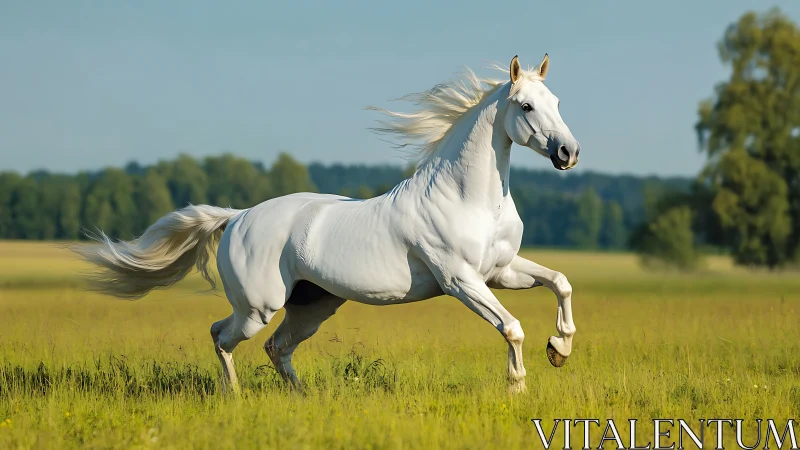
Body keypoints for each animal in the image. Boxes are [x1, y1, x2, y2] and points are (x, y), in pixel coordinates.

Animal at [75, 54, 580, 394]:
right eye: (526, 106)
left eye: (557, 100)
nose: (568, 153)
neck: (465, 198)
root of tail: (237, 218)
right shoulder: (461, 280)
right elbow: (511, 327)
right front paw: (518, 385)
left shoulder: (501, 271)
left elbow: (560, 282)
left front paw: (559, 348)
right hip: (258, 306)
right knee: (222, 335)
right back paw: (234, 396)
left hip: (311, 307)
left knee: (277, 348)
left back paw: (302, 398)